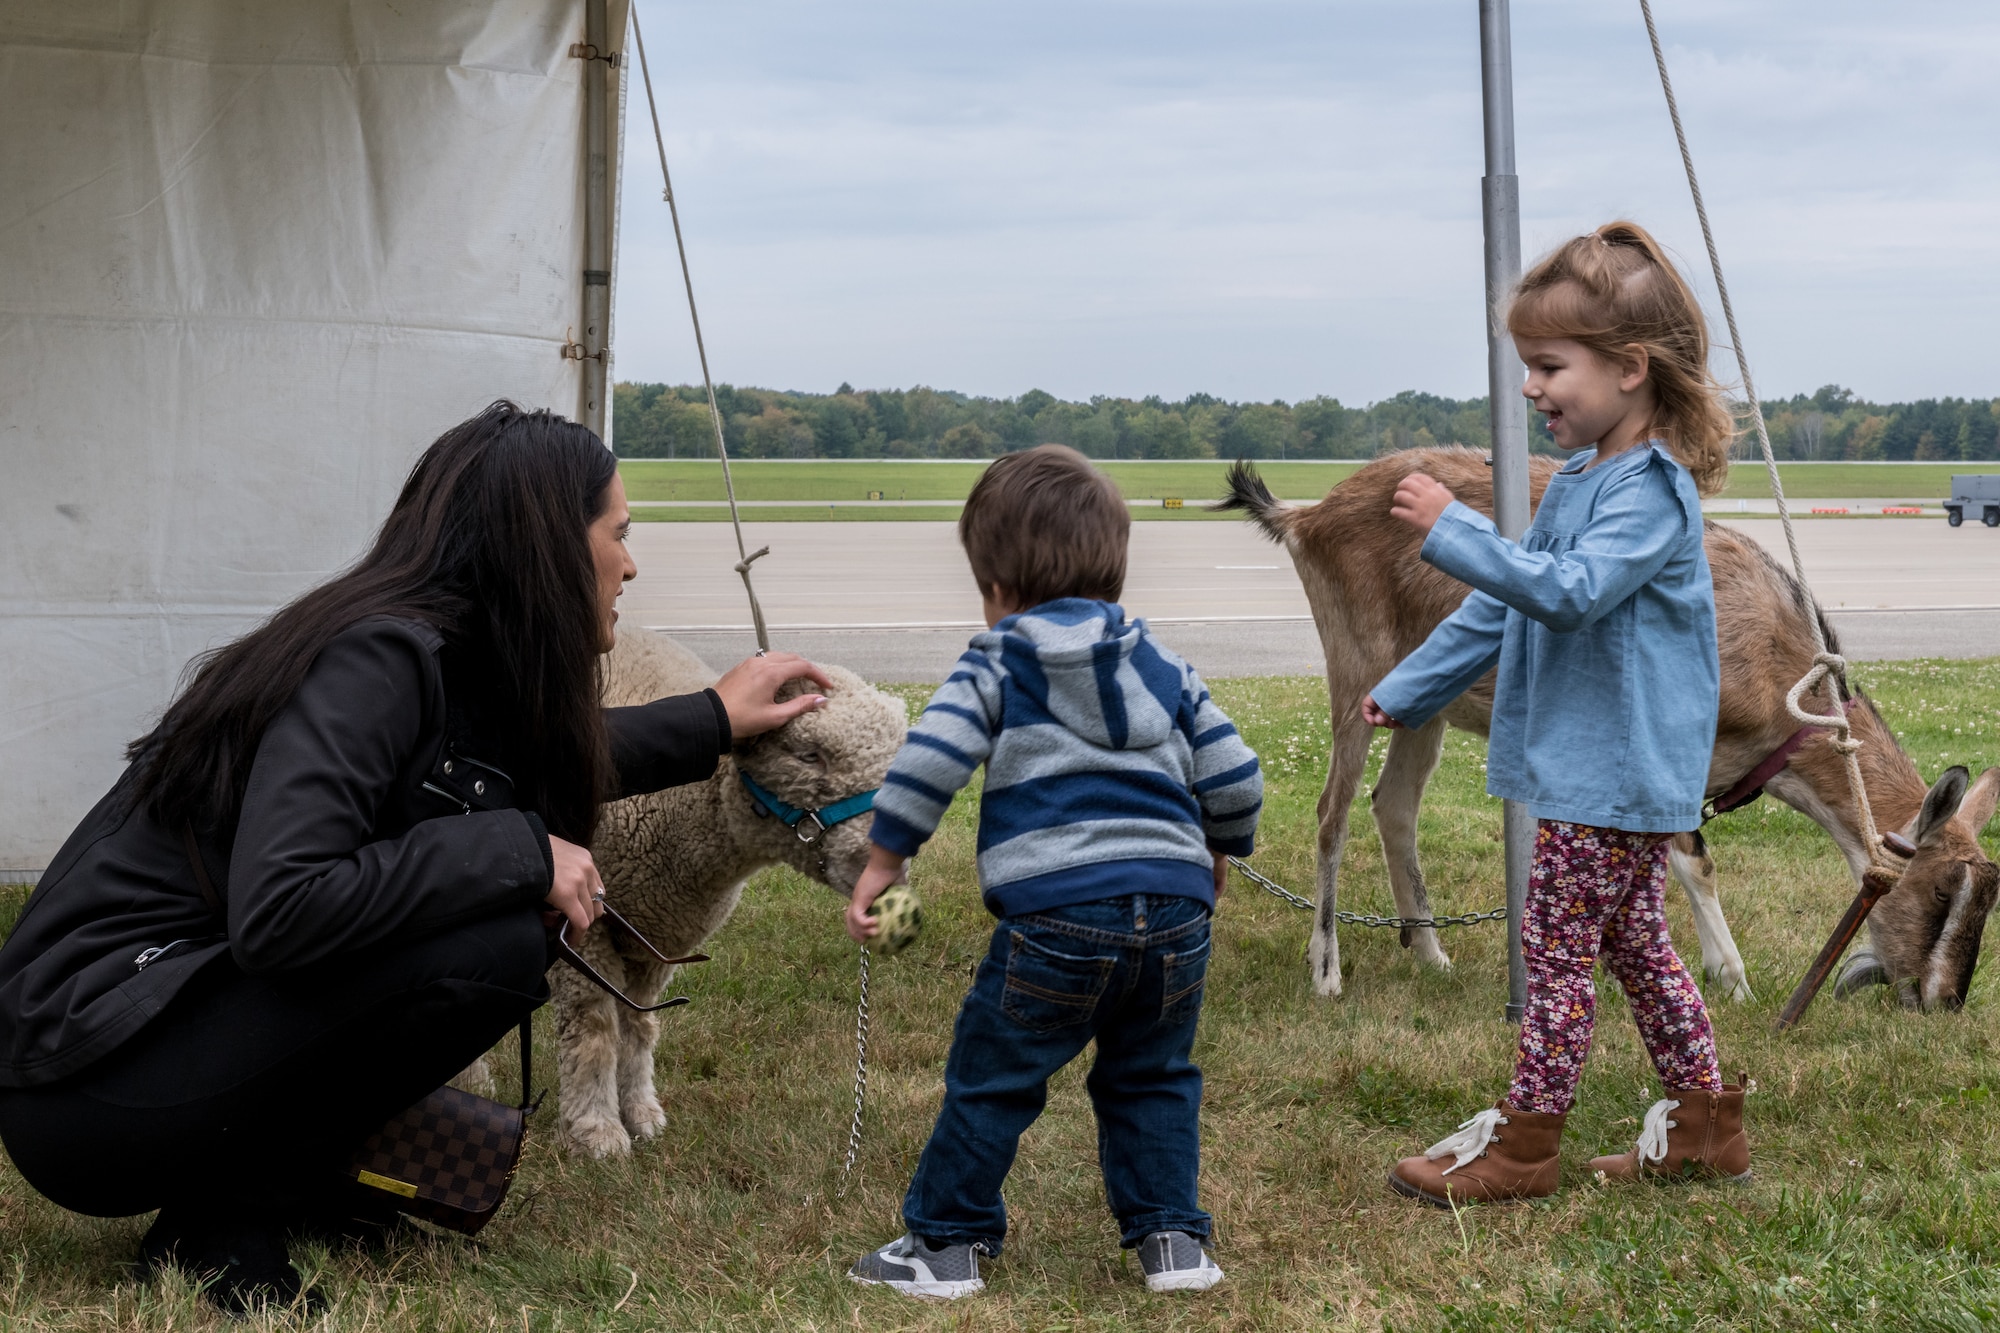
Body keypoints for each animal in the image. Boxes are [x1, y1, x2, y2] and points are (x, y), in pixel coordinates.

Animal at [1216, 446, 2000, 1008]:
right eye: (1940, 891)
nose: (1944, 1001)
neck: (1776, 661)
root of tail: (1307, 515)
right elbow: (1694, 861)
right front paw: (1732, 978)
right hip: (1356, 668)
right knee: (1333, 811)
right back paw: (1326, 970)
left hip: (1423, 702)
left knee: (1396, 805)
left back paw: (1432, 955)